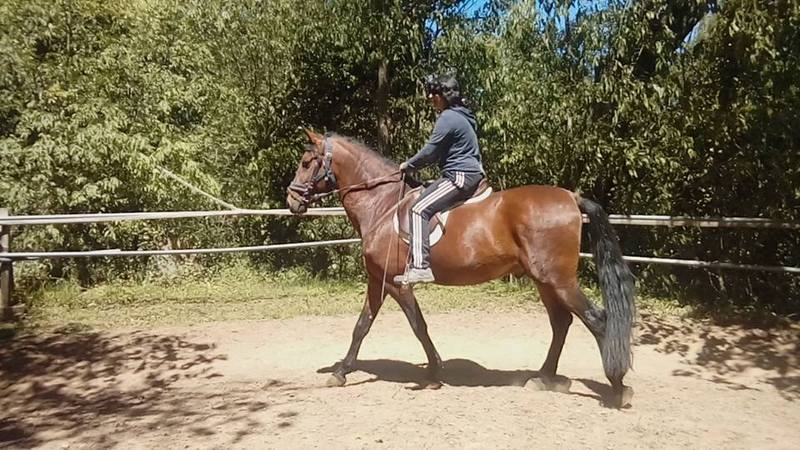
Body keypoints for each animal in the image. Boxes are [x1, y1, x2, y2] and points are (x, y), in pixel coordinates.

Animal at [286, 129, 636, 407]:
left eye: (305, 163)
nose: (291, 201)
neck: (382, 206)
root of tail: (571, 197)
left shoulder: (398, 284)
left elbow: (418, 325)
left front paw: (434, 371)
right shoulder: (378, 280)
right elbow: (362, 326)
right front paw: (341, 372)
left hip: (559, 280)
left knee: (597, 320)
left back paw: (618, 388)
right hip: (545, 281)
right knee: (561, 323)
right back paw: (543, 377)